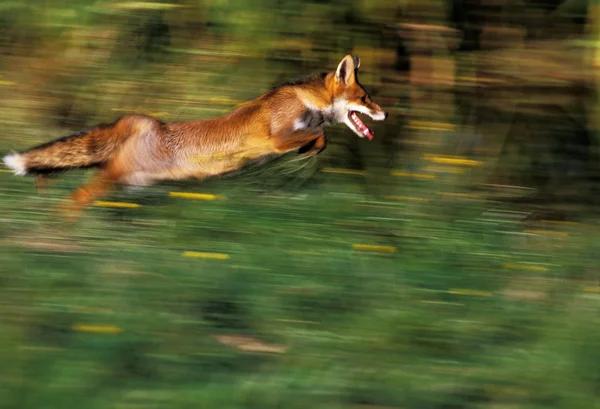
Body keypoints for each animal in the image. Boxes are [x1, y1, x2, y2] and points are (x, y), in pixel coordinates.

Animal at [2, 55, 386, 218]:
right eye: (366, 98)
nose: (384, 113)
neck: (306, 101)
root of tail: (143, 122)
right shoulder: (276, 139)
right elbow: (318, 136)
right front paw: (308, 153)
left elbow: (318, 137)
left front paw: (307, 155)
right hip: (113, 177)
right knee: (75, 199)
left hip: (126, 180)